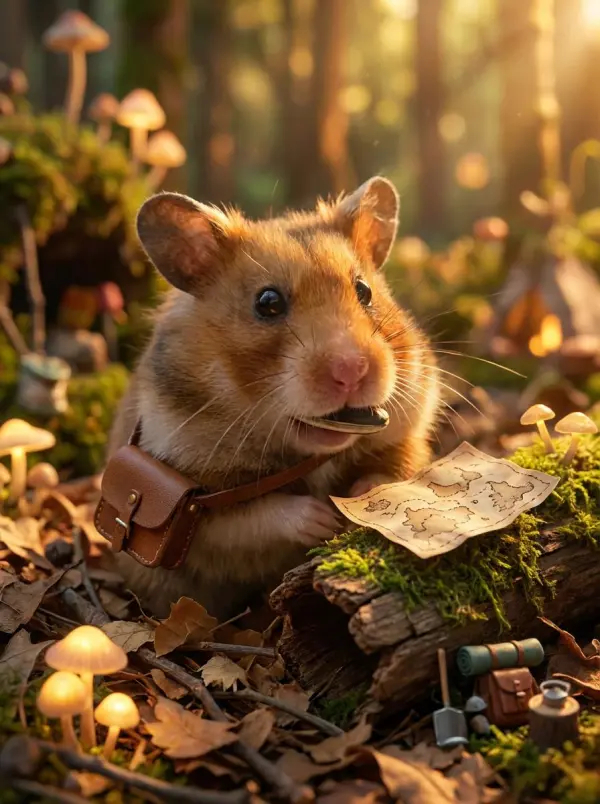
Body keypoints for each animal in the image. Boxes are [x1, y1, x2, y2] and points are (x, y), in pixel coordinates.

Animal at [107, 176, 440, 620]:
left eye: (365, 291)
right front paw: (322, 520)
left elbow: (396, 472)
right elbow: (252, 517)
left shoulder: (410, 437)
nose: (352, 369)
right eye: (267, 303)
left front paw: (355, 498)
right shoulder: (191, 507)